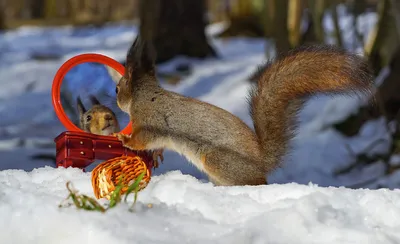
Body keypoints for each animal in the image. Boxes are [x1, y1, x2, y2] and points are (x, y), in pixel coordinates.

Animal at [111, 35, 372, 185]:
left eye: (116, 88)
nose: (116, 102)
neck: (146, 95)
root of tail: (261, 162)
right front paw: (156, 154)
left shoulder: (149, 120)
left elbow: (143, 139)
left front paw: (124, 139)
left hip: (217, 161)